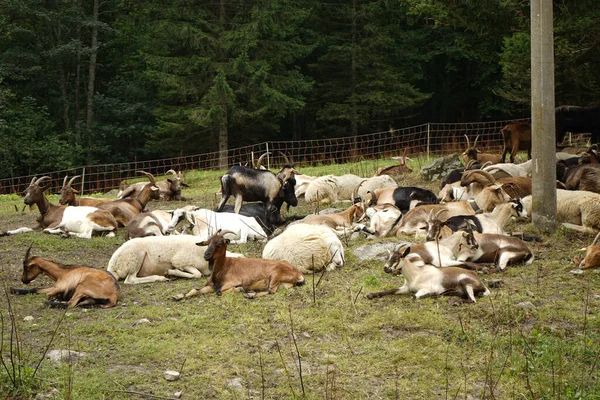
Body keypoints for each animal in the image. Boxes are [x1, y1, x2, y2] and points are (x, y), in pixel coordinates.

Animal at [106, 234, 244, 284]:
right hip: (134, 258)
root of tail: (112, 264)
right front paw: (172, 272)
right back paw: (161, 277)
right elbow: (196, 274)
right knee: (130, 280)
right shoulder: (181, 261)